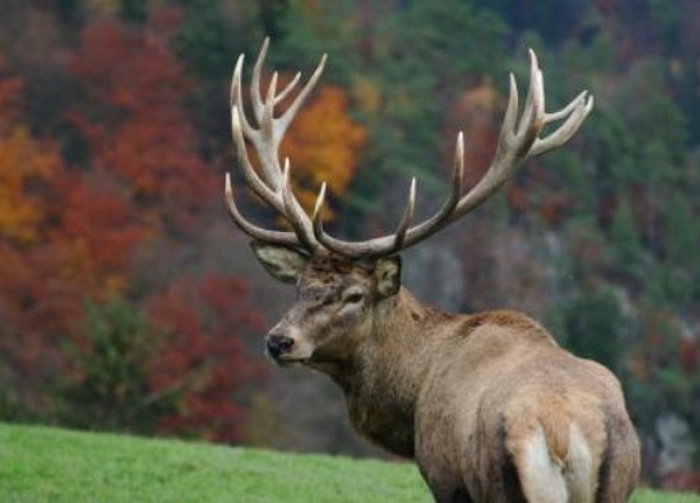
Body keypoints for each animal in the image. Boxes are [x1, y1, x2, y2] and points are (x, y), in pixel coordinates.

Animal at [224, 40, 640, 503]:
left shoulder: (444, 474)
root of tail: (562, 433)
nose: (279, 341)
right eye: (299, 285)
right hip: (617, 483)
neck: (411, 403)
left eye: (355, 295)